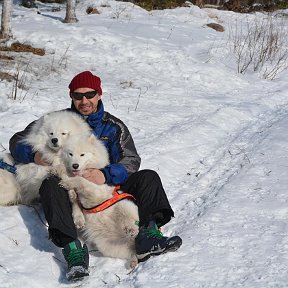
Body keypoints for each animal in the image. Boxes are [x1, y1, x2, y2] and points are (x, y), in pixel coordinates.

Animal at [57, 134, 140, 268]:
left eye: (82, 154)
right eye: (70, 154)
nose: (75, 165)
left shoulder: (95, 190)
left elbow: (81, 181)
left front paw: (69, 182)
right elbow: (74, 201)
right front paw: (78, 218)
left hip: (124, 205)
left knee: (134, 223)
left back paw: (131, 229)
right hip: (108, 246)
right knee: (132, 251)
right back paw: (133, 261)